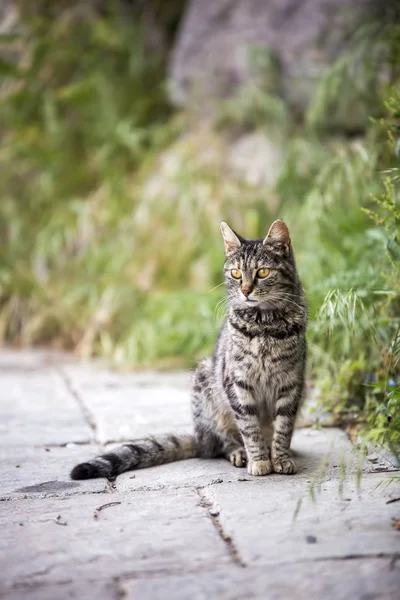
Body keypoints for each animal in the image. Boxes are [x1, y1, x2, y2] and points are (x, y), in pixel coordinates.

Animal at [71, 219, 306, 478]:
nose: (245, 290)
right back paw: (238, 452)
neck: (264, 325)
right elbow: (249, 428)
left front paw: (280, 457)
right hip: (207, 389)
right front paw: (260, 460)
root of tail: (199, 437)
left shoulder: (291, 383)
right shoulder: (238, 383)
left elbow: (283, 428)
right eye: (235, 273)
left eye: (262, 272)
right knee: (218, 443)